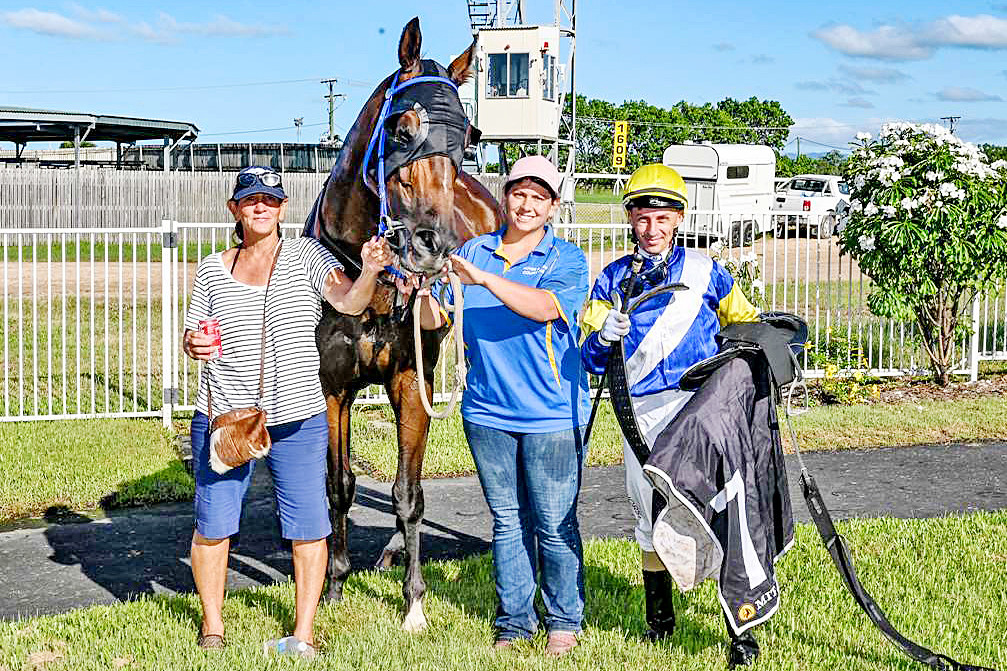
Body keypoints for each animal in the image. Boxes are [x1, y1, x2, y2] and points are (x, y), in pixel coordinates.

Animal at [300, 18, 501, 628]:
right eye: (403, 128)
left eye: (468, 138)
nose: (434, 246)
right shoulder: (333, 386)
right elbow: (338, 486)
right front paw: (335, 584)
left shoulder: (413, 380)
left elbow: (408, 493)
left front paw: (414, 603)